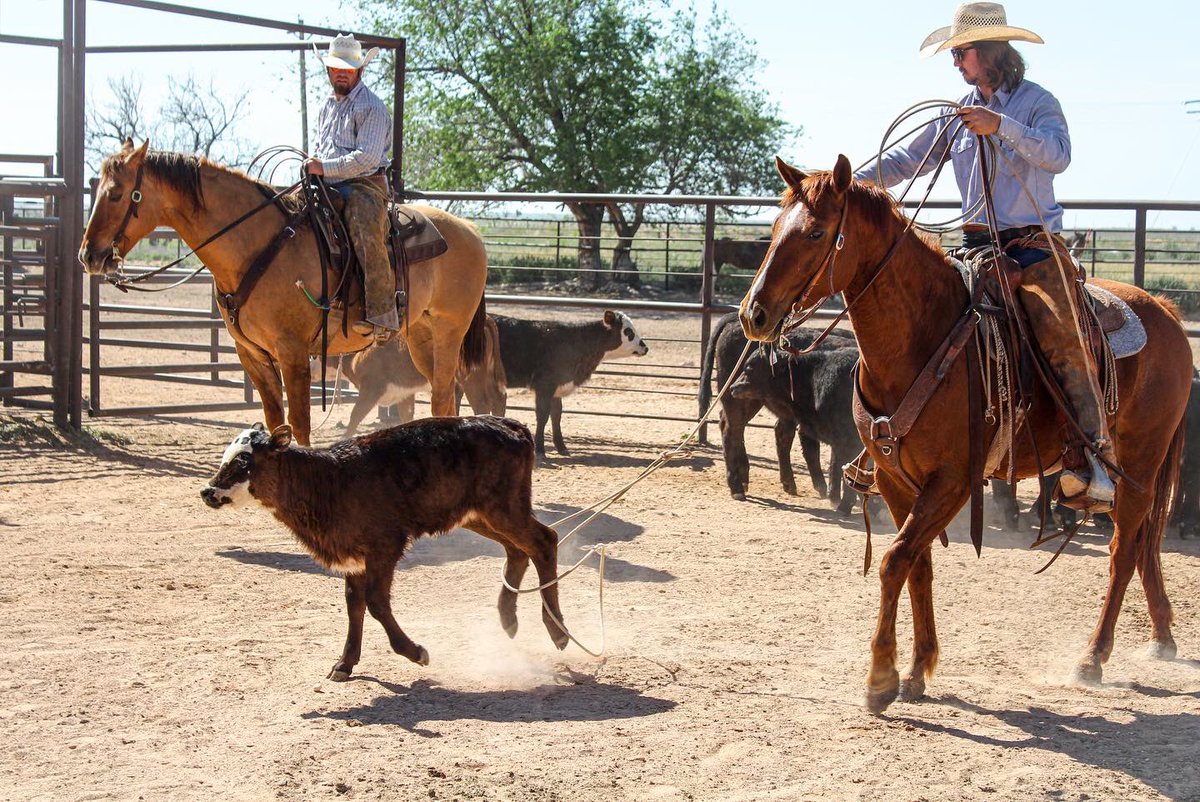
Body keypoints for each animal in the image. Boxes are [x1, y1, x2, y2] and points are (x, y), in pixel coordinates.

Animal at [78, 142, 487, 444]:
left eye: (116, 194)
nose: (89, 255)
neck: (257, 245)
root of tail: (470, 230)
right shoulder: (252, 354)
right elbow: (276, 422)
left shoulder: (293, 352)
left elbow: (299, 424)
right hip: (421, 336)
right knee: (446, 397)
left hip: (450, 331)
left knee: (442, 397)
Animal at [200, 417, 566, 681]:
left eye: (244, 461)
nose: (207, 491)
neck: (330, 479)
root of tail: (510, 425)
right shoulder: (355, 557)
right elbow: (354, 604)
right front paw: (345, 663)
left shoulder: (384, 547)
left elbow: (375, 602)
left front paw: (415, 652)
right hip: (479, 515)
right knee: (518, 551)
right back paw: (508, 619)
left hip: (503, 509)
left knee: (544, 542)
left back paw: (558, 631)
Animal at [492, 309, 652, 453]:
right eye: (628, 332)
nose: (645, 348)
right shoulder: (545, 386)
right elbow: (543, 415)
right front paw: (540, 449)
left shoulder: (558, 387)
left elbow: (556, 415)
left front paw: (562, 447)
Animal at [739, 154, 1190, 715]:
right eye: (776, 228)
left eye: (818, 231)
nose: (753, 314)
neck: (921, 338)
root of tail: (1165, 310)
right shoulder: (895, 479)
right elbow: (917, 564)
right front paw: (917, 669)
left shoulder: (952, 481)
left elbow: (893, 560)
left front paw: (881, 677)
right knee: (1145, 545)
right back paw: (1161, 636)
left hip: (1141, 461)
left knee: (1123, 551)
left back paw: (1092, 659)